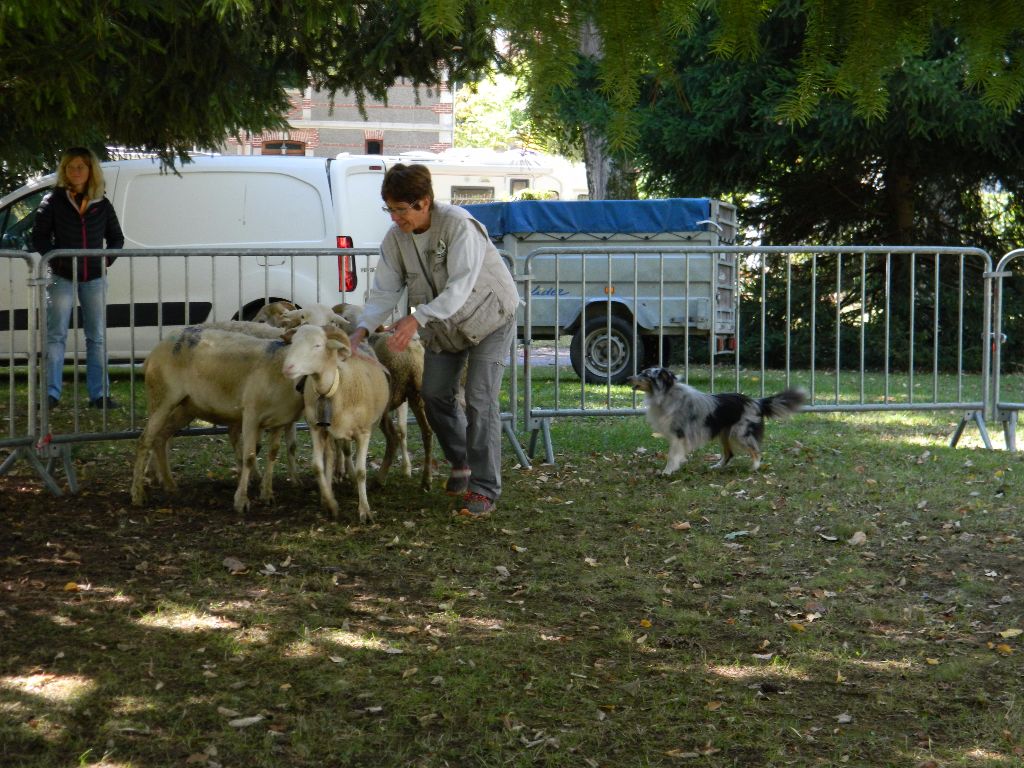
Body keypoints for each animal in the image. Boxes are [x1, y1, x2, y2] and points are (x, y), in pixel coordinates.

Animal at [131, 327, 303, 514]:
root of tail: (153, 353)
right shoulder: (251, 415)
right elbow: (249, 457)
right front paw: (241, 501)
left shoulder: (279, 420)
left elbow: (273, 453)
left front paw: (267, 494)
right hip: (161, 397)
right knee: (144, 441)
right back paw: (138, 495)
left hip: (186, 408)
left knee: (161, 438)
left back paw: (170, 485)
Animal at [282, 325, 389, 524]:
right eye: (292, 342)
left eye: (317, 345)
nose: (287, 368)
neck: (334, 388)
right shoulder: (316, 429)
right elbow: (318, 467)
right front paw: (331, 504)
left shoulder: (363, 433)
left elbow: (362, 472)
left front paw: (365, 511)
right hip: (329, 433)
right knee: (330, 458)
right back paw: (329, 494)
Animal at [622, 368, 806, 475]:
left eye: (645, 375)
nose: (628, 378)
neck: (667, 394)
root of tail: (756, 402)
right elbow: (677, 454)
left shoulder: (678, 434)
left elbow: (672, 455)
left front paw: (667, 472)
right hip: (725, 434)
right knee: (729, 454)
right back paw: (716, 467)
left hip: (740, 434)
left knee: (756, 451)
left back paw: (754, 467)